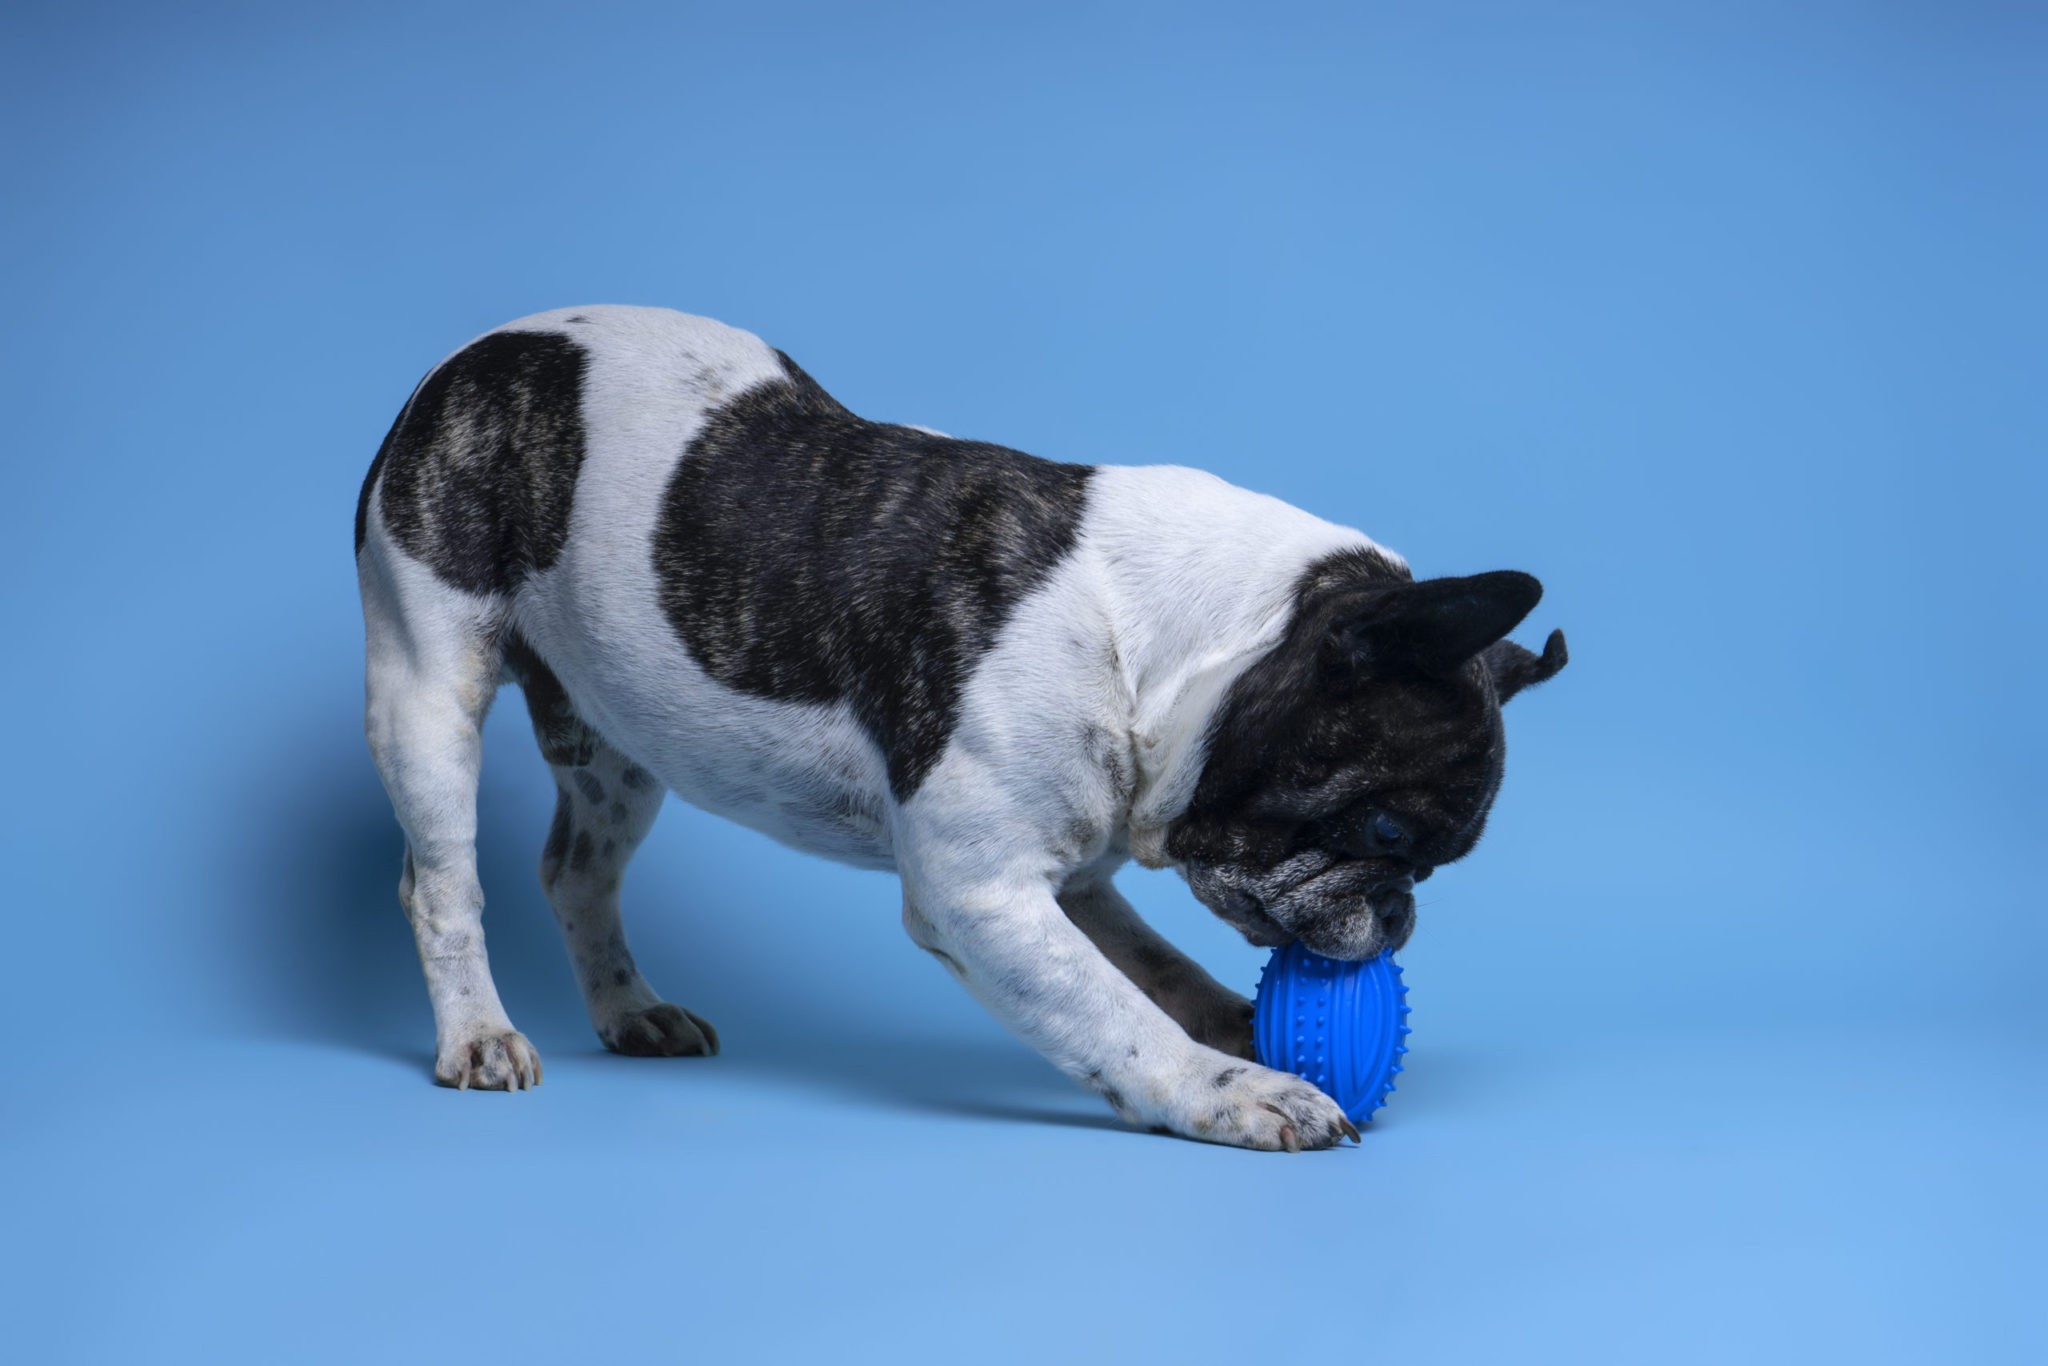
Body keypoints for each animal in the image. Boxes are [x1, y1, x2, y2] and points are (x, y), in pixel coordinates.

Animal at [352, 305, 1564, 1146]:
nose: (1399, 917)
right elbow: (1112, 1009)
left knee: (577, 871)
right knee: (441, 885)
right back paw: (477, 1034)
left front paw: (1231, 1023)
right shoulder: (980, 890)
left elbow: (1149, 968)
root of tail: (456, 366)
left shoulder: (1070, 875)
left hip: (615, 750)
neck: (1164, 643)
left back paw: (627, 1010)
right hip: (427, 687)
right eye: (1390, 836)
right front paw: (1230, 1089)